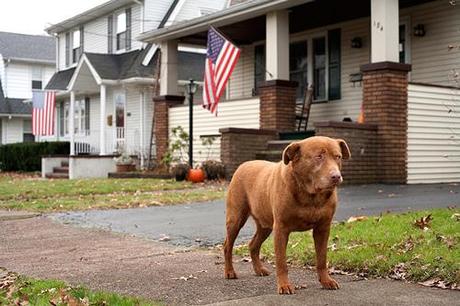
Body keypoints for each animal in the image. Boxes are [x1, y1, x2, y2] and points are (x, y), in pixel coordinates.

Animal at [225, 136, 350, 294]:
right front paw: (284, 285)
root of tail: (244, 164)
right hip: (236, 218)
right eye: (318, 156)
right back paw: (229, 272)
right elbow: (281, 262)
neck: (310, 194)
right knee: (227, 246)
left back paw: (259, 269)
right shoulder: (281, 228)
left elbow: (322, 258)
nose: (336, 176)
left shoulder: (323, 228)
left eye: (338, 157)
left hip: (265, 225)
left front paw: (326, 281)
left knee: (253, 245)